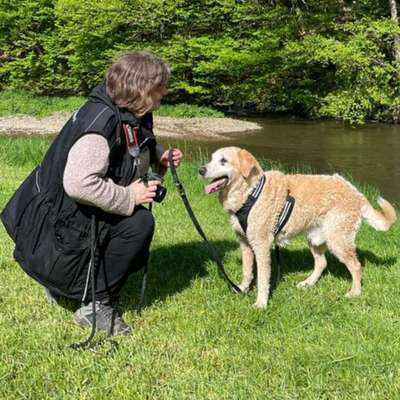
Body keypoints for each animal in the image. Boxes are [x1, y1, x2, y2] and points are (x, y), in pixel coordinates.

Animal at [198, 148, 396, 308]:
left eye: (223, 160)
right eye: (211, 158)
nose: (201, 170)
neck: (250, 193)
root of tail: (357, 193)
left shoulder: (261, 246)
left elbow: (263, 279)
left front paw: (261, 304)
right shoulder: (245, 243)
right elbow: (247, 271)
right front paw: (242, 289)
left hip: (338, 240)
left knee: (356, 266)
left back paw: (354, 293)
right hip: (315, 238)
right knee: (322, 263)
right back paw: (307, 283)